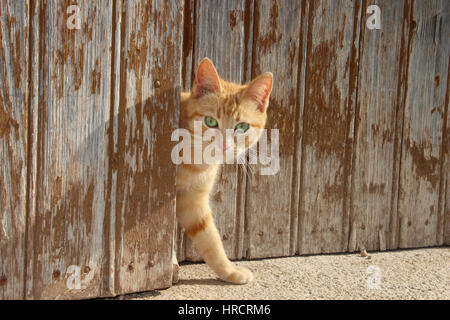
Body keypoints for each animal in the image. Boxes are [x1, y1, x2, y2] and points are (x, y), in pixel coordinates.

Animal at [178, 57, 272, 282]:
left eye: (242, 127)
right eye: (211, 121)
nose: (224, 145)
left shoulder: (193, 203)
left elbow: (211, 240)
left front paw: (229, 271)